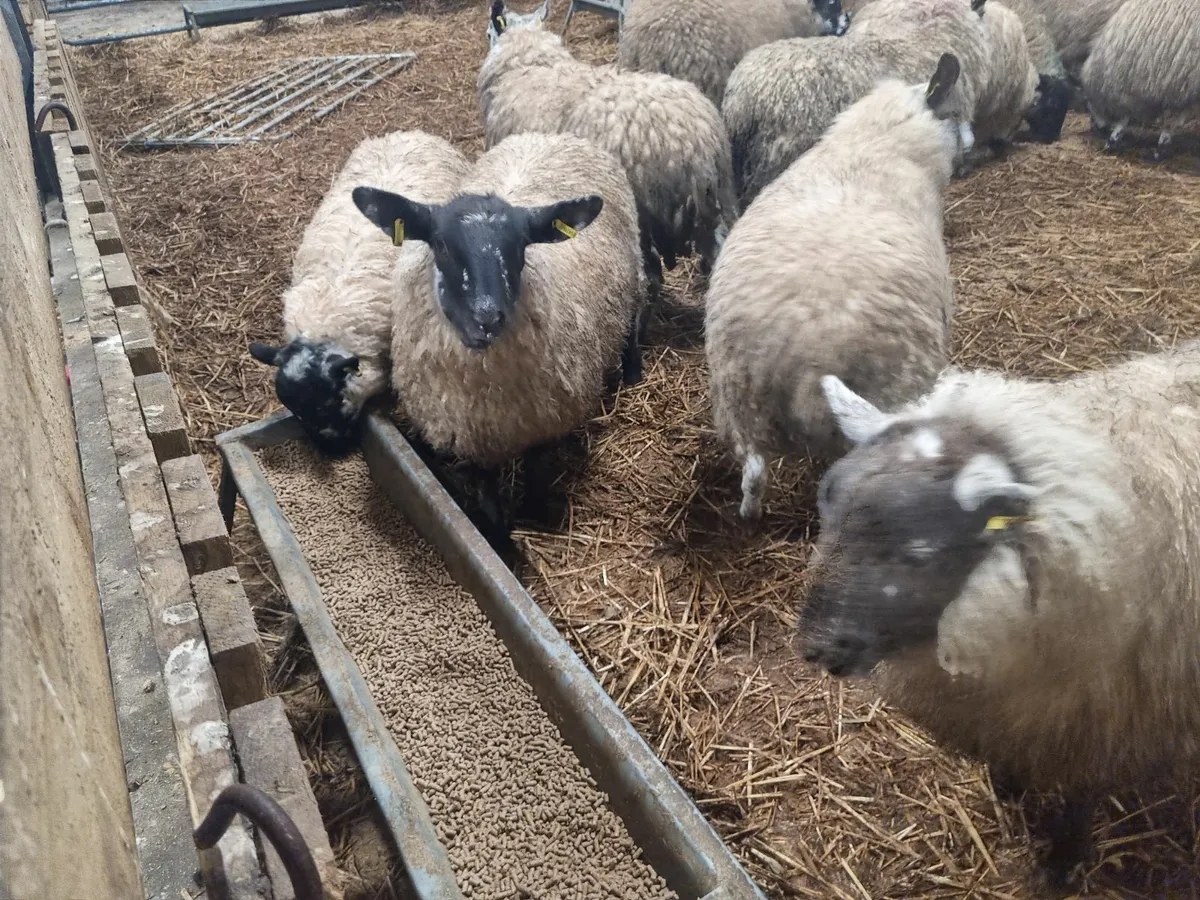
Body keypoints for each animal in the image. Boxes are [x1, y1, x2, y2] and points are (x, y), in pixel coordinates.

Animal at [352, 131, 643, 540]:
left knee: (634, 314)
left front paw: (536, 513)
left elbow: (536, 473)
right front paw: (496, 533)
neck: (485, 391)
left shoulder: (543, 421)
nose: (486, 317)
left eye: (521, 245)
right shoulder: (470, 433)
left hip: (633, 262)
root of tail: (551, 134)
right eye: (441, 244)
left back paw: (633, 372)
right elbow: (486, 491)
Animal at [706, 54, 965, 521]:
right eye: (954, 114)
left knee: (753, 471)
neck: (874, 146)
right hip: (890, 392)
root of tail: (803, 363)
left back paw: (750, 514)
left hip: (736, 398)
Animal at [800, 340, 1200, 888]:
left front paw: (1061, 867)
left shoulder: (1104, 720)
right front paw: (1009, 788)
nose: (817, 646)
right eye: (828, 514)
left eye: (919, 552)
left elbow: (1079, 801)